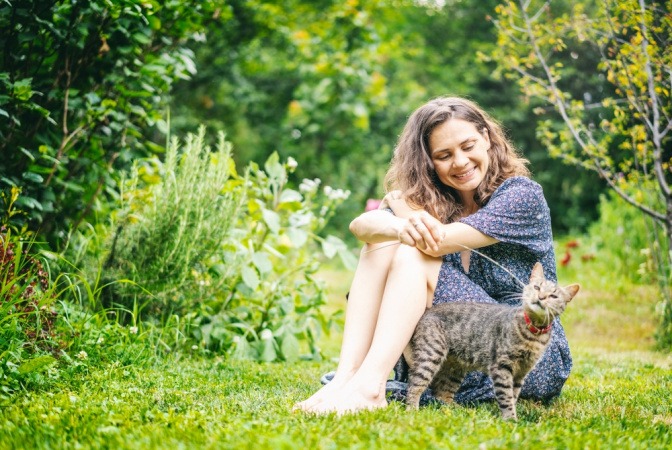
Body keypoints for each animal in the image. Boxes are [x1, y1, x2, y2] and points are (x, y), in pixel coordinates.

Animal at [402, 262, 580, 420]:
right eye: (537, 288)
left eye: (553, 296)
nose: (541, 297)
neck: (533, 334)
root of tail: (425, 313)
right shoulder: (501, 366)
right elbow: (506, 397)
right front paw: (510, 420)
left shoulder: (521, 372)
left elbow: (513, 395)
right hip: (431, 355)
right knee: (415, 385)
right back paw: (413, 411)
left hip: (455, 369)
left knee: (441, 393)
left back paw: (455, 410)